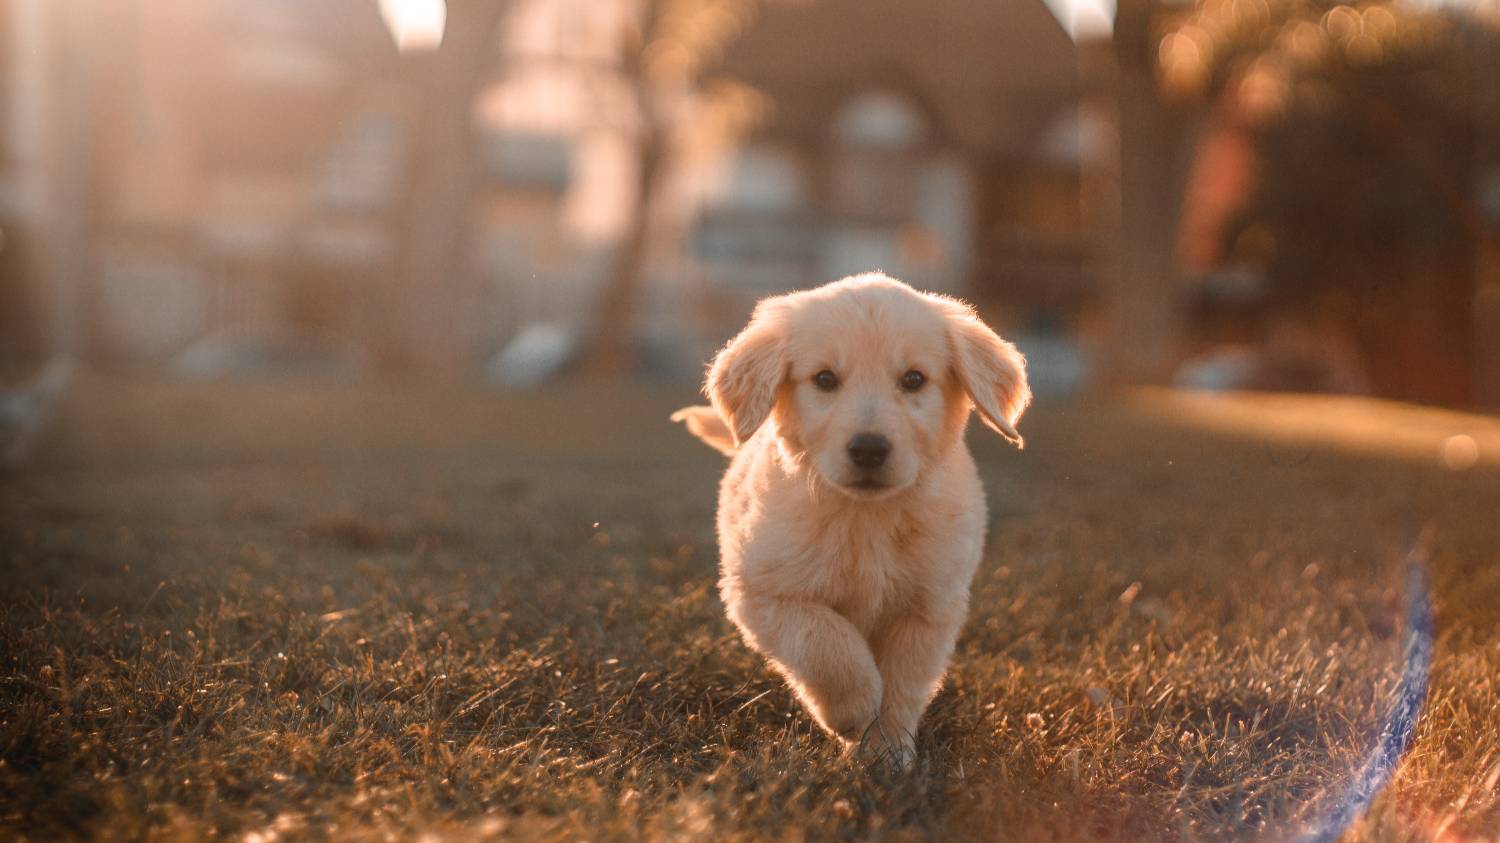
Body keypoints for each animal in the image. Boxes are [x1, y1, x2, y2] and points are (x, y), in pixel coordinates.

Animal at [672, 273, 1032, 765]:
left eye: (914, 379)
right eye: (825, 379)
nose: (869, 449)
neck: (866, 517)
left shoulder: (929, 607)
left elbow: (902, 683)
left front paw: (888, 751)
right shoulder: (764, 592)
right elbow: (826, 644)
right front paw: (855, 710)